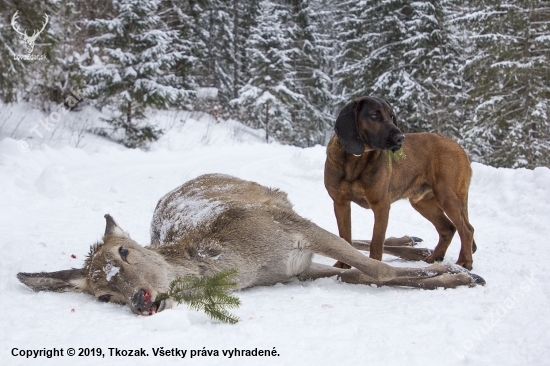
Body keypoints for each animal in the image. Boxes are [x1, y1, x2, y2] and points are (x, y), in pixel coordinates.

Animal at [15, 174, 486, 314]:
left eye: (124, 252)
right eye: (103, 295)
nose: (140, 300)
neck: (248, 266)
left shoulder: (288, 226)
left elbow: (375, 268)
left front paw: (457, 273)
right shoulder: (297, 269)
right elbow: (361, 275)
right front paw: (448, 275)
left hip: (277, 200)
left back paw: (419, 242)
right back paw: (418, 245)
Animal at [326, 96, 476, 268]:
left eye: (392, 116)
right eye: (374, 116)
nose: (400, 138)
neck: (356, 159)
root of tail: (458, 146)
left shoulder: (381, 205)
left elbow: (376, 241)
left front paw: (374, 265)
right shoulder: (340, 203)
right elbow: (344, 237)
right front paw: (343, 264)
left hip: (447, 196)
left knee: (467, 230)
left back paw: (464, 261)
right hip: (422, 202)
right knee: (448, 228)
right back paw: (434, 257)